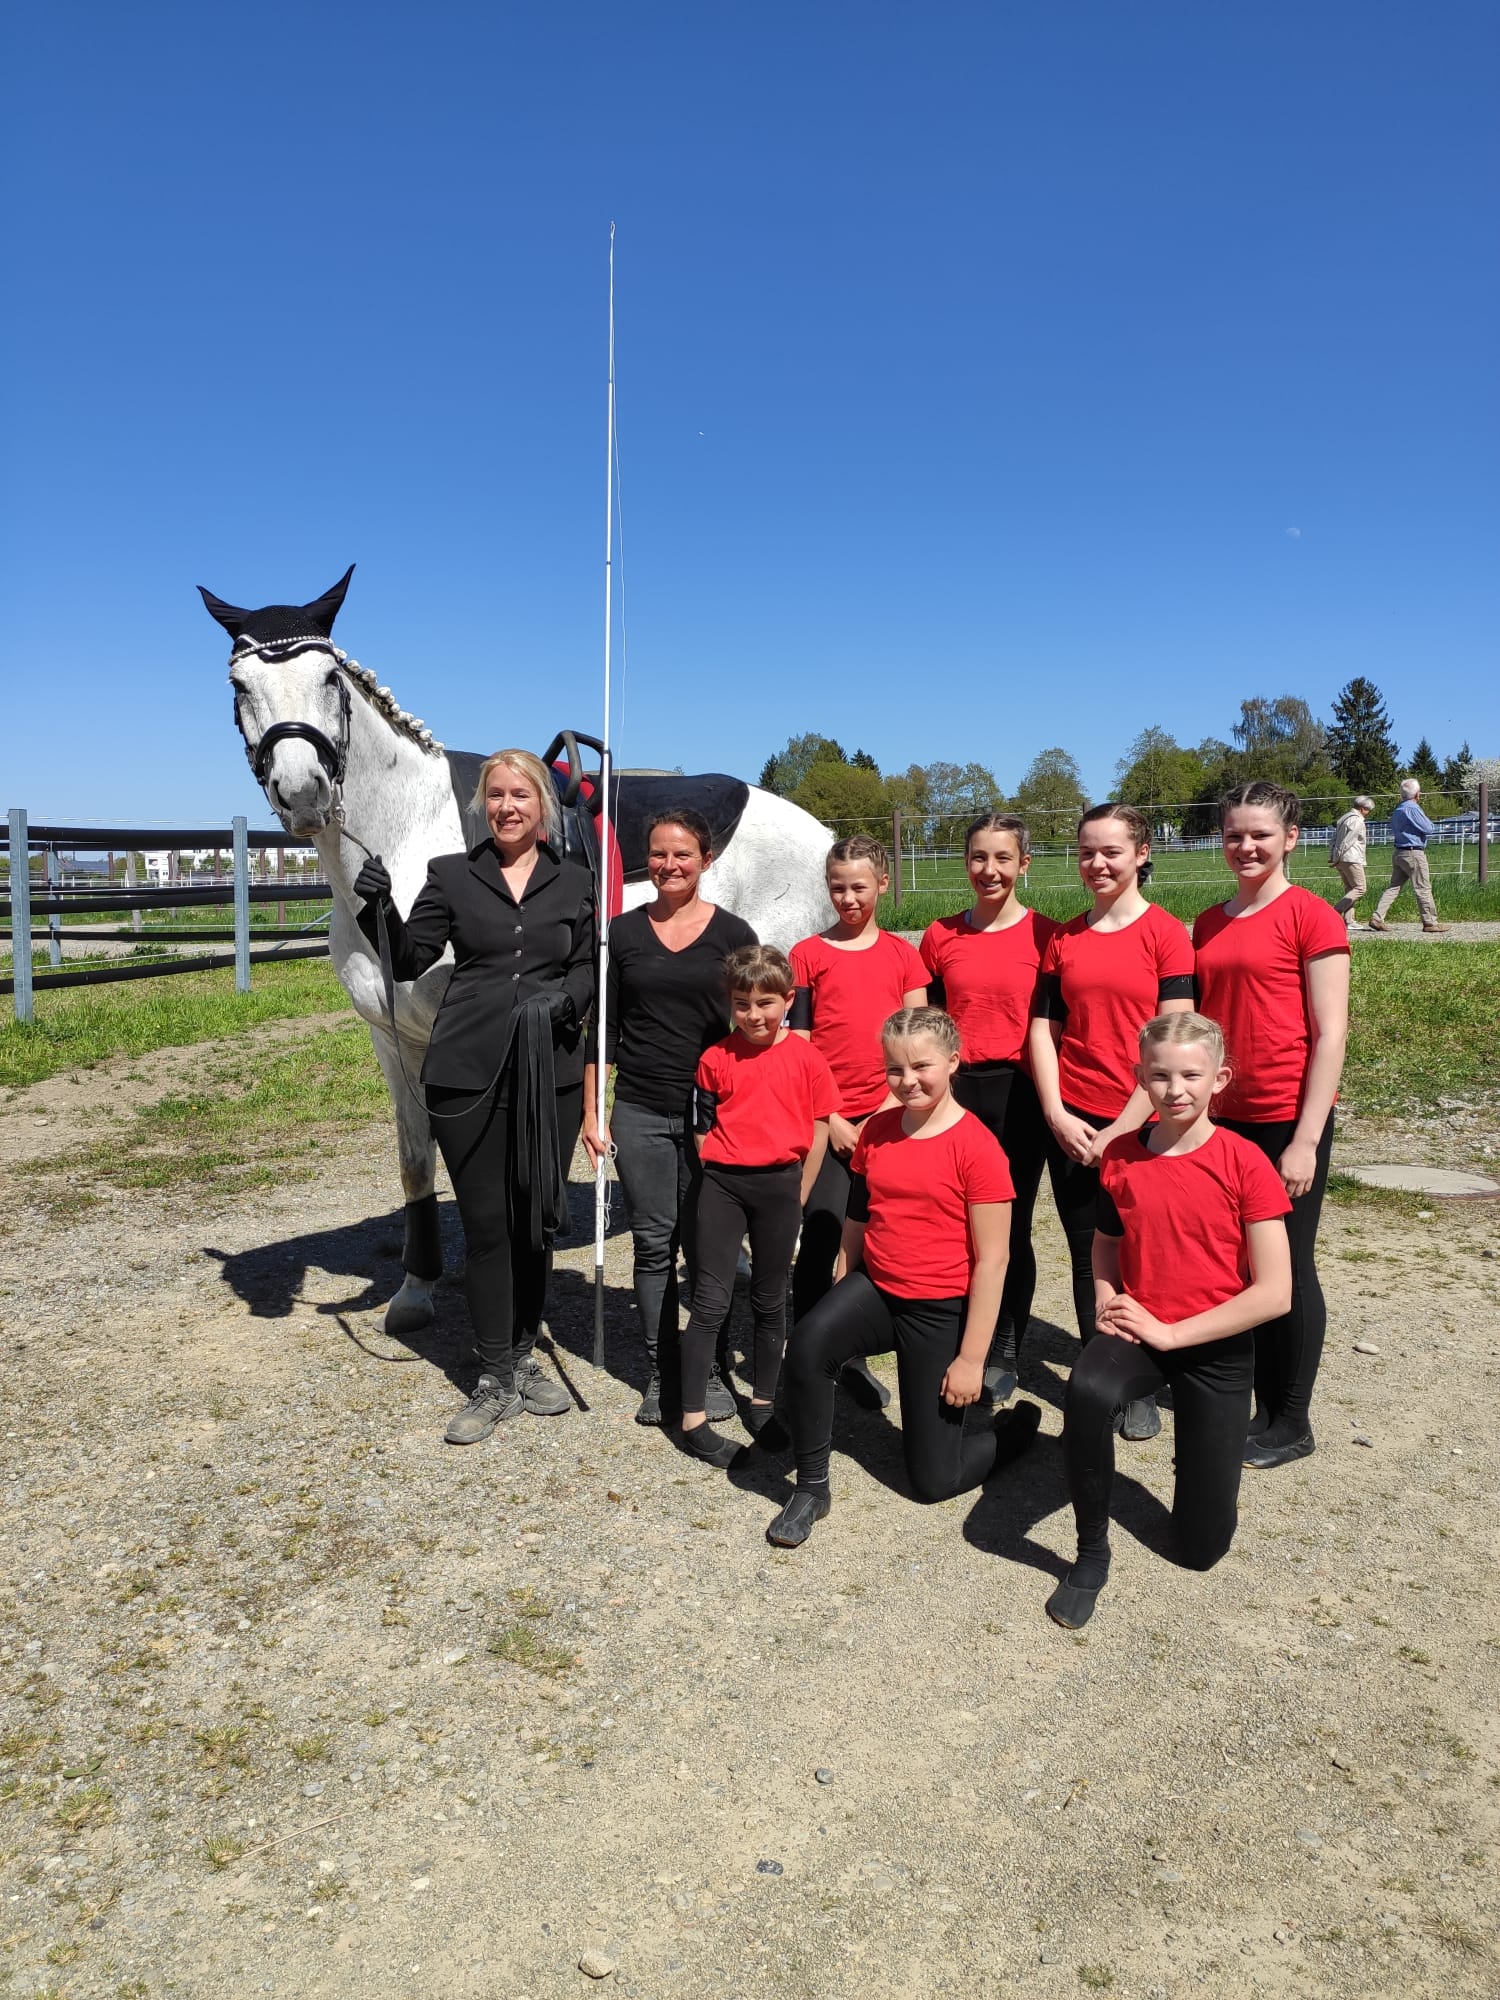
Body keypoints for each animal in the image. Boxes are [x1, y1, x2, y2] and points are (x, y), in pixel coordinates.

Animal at [199, 566, 834, 1338]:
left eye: (329, 678)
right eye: (240, 686)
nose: (303, 792)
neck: (410, 835)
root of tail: (822, 834)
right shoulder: (394, 1040)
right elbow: (416, 1162)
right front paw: (415, 1289)